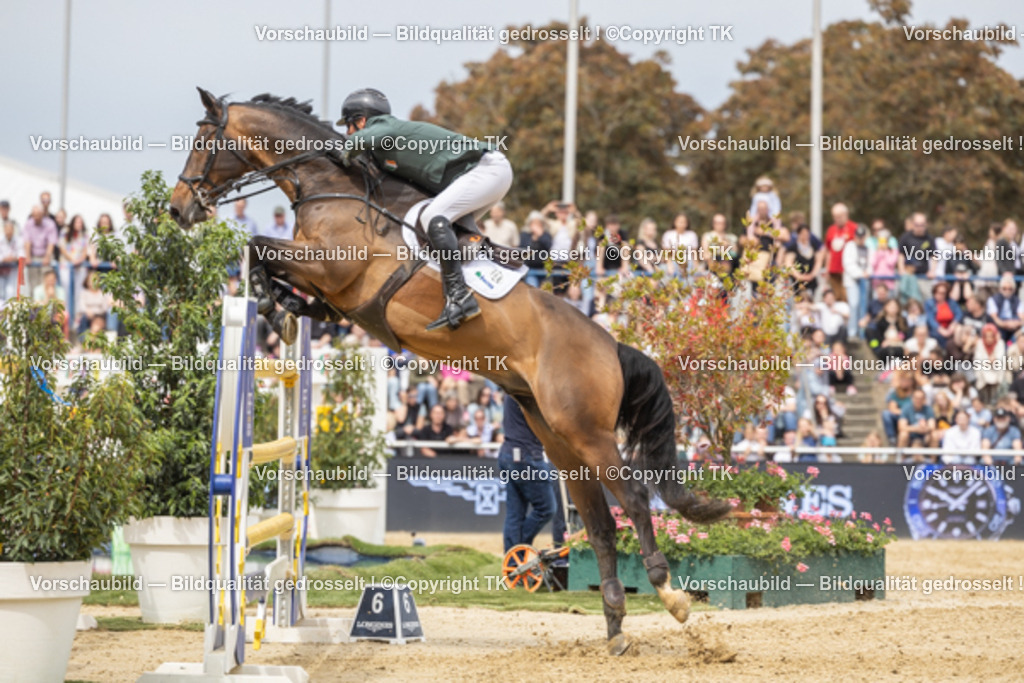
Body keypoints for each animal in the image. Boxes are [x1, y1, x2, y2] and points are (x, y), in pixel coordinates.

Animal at [170, 88, 731, 655]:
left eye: (202, 143)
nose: (177, 208)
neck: (330, 186)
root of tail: (611, 345)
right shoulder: (331, 292)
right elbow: (271, 264)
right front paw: (282, 309)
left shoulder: (330, 265)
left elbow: (258, 246)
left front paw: (270, 304)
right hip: (559, 438)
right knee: (598, 523)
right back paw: (615, 627)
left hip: (587, 432)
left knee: (634, 499)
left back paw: (671, 595)